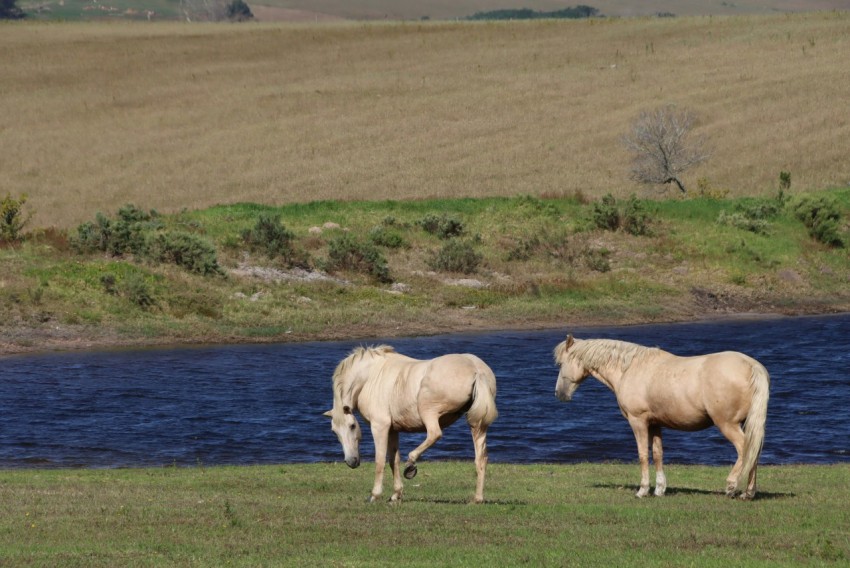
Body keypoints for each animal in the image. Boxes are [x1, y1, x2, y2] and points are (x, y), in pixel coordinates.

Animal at [324, 344, 496, 504]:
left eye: (352, 426)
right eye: (334, 431)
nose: (351, 462)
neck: (370, 376)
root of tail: (476, 369)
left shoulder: (380, 426)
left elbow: (380, 461)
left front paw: (375, 495)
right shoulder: (393, 430)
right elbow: (393, 460)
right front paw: (396, 494)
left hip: (428, 411)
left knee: (434, 434)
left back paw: (411, 464)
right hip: (477, 425)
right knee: (481, 459)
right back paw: (477, 498)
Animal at [552, 336, 764, 500]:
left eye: (561, 364)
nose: (559, 394)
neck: (630, 368)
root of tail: (751, 365)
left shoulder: (638, 421)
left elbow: (643, 455)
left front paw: (643, 490)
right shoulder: (655, 424)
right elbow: (657, 454)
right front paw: (660, 489)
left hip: (727, 424)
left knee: (745, 450)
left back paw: (731, 485)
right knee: (754, 452)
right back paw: (748, 493)